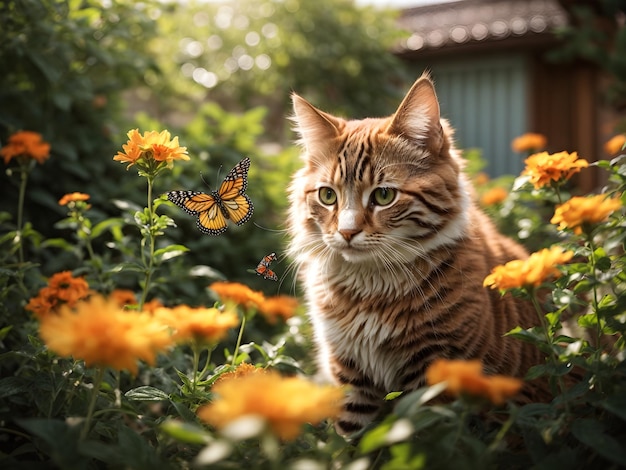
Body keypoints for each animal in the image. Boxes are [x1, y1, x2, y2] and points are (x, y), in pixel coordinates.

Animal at [288, 73, 544, 436]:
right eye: (327, 196)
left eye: (383, 196)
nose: (347, 232)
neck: (370, 291)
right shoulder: (349, 375)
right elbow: (349, 439)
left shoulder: (434, 374)